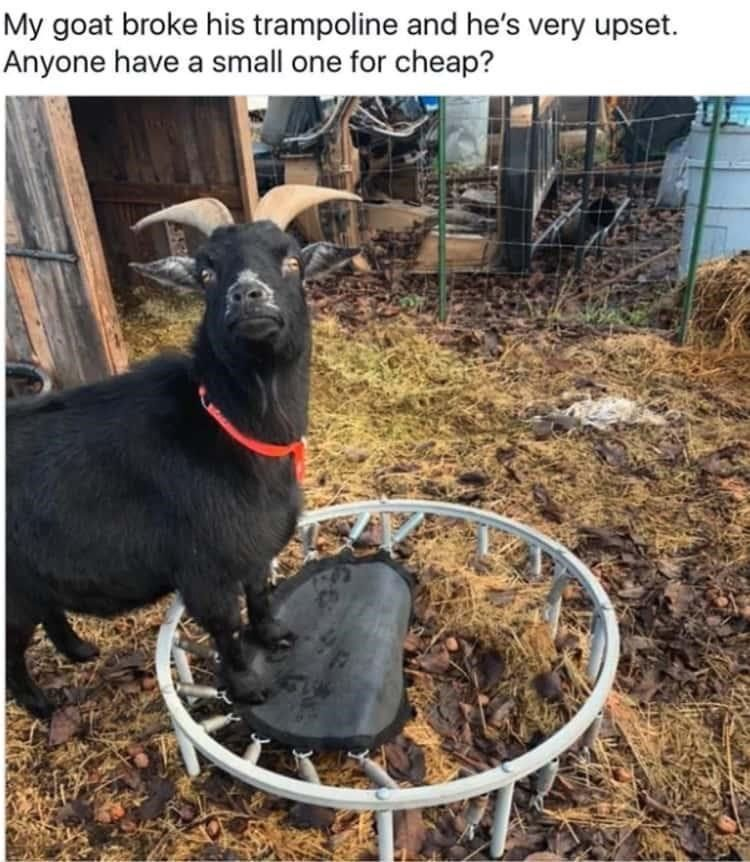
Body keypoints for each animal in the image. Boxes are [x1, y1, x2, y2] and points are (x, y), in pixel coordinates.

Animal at [6, 186, 361, 719]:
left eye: (292, 259)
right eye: (206, 273)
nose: (248, 295)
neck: (230, 429)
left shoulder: (253, 546)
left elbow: (260, 595)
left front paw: (275, 635)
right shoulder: (204, 568)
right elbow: (226, 626)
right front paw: (247, 685)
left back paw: (80, 650)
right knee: (12, 648)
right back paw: (41, 704)